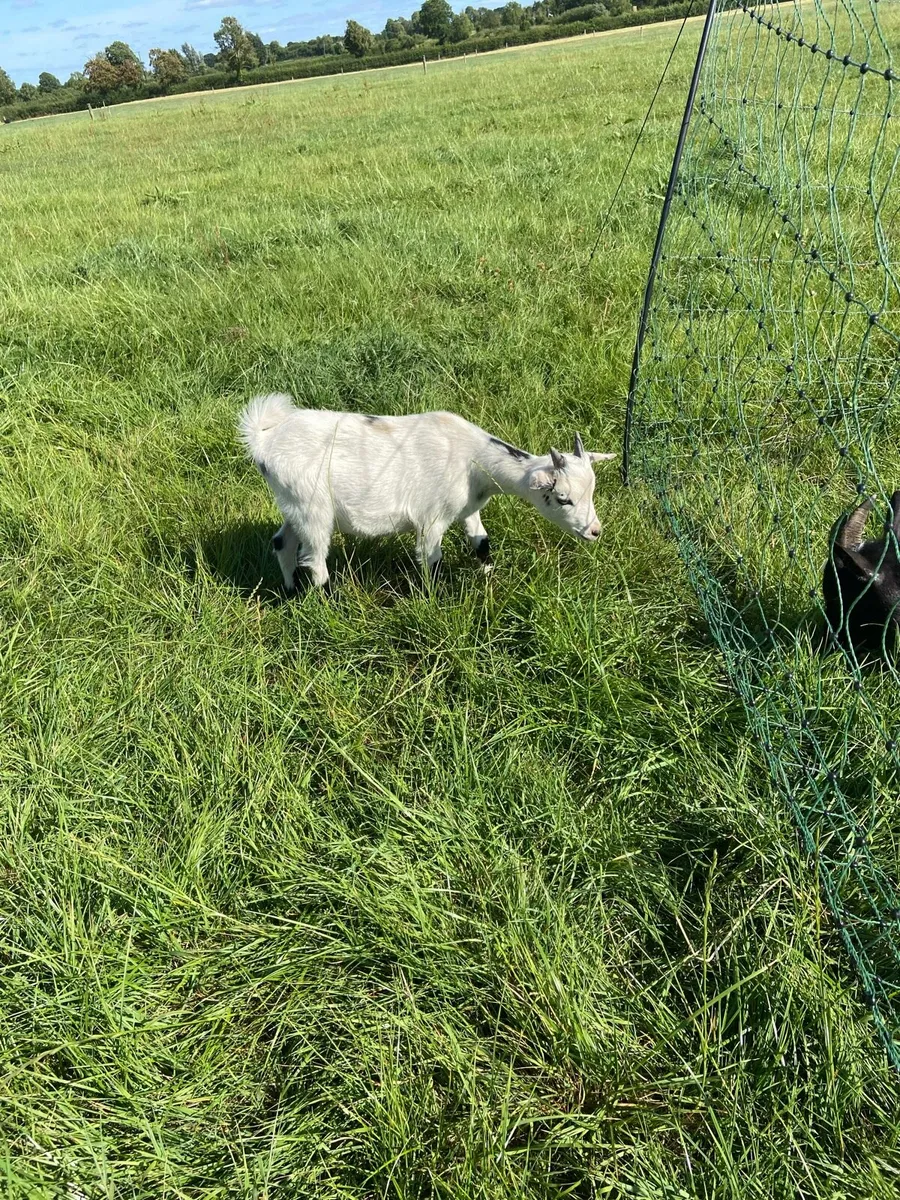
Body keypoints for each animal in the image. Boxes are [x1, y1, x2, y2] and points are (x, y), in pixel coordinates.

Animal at [238, 393, 616, 589]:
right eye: (563, 497)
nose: (594, 531)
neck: (471, 458)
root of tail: (264, 441)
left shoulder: (468, 507)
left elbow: (481, 542)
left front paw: (489, 579)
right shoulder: (431, 519)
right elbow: (431, 559)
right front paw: (436, 599)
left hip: (294, 506)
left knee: (282, 542)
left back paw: (290, 591)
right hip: (313, 508)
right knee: (315, 561)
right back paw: (328, 599)